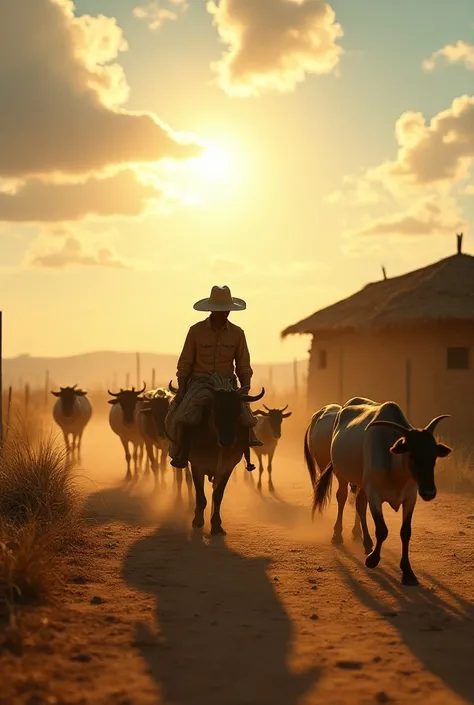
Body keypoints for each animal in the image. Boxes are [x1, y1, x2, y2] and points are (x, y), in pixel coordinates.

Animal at [168, 380, 264, 532]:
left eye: (238, 413)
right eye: (216, 411)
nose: (227, 441)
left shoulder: (228, 467)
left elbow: (218, 495)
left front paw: (216, 524)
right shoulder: (197, 465)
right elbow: (200, 496)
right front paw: (197, 520)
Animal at [312, 398, 452, 584]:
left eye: (433, 455)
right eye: (411, 455)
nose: (429, 491)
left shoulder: (410, 498)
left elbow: (405, 532)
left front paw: (408, 572)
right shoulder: (374, 494)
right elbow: (382, 529)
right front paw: (372, 559)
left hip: (361, 483)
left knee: (359, 504)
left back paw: (364, 540)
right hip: (341, 475)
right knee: (342, 499)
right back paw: (338, 535)